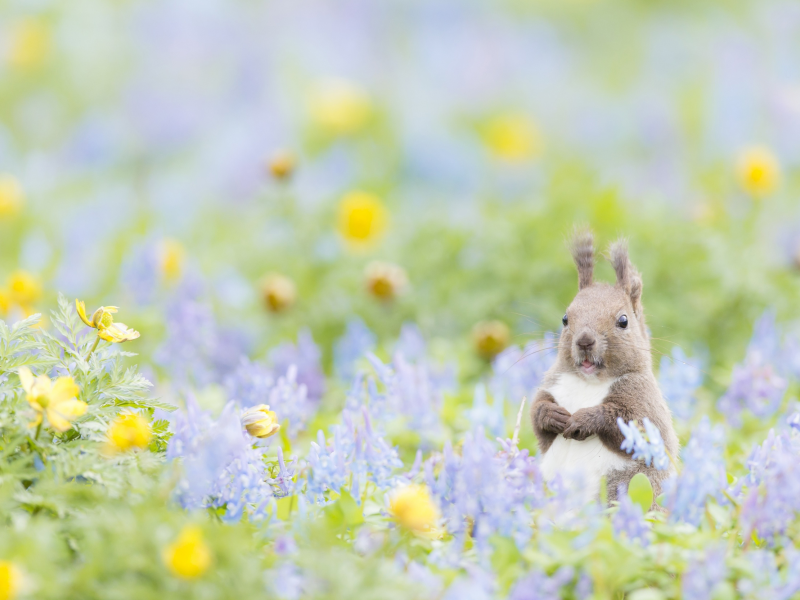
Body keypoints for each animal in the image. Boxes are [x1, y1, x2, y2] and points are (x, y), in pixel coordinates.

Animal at [528, 230, 680, 506]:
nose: (584, 341)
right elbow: (537, 415)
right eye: (565, 318)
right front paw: (551, 415)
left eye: (623, 321)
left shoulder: (645, 401)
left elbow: (631, 422)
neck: (589, 382)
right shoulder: (553, 384)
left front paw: (585, 419)